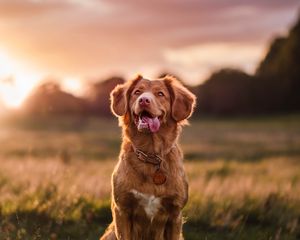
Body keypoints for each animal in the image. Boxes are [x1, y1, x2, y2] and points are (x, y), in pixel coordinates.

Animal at [99, 75, 196, 240]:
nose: (144, 100)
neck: (151, 155)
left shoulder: (175, 214)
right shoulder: (122, 211)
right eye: (137, 92)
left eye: (160, 94)